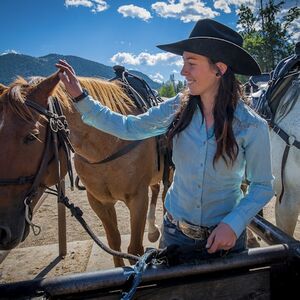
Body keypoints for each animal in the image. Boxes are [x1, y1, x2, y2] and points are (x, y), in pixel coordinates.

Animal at [0, 71, 164, 266]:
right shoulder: (98, 201)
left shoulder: (138, 199)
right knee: (156, 188)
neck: (109, 143)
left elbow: (135, 250)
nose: (1, 231)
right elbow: (114, 244)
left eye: (32, 136)